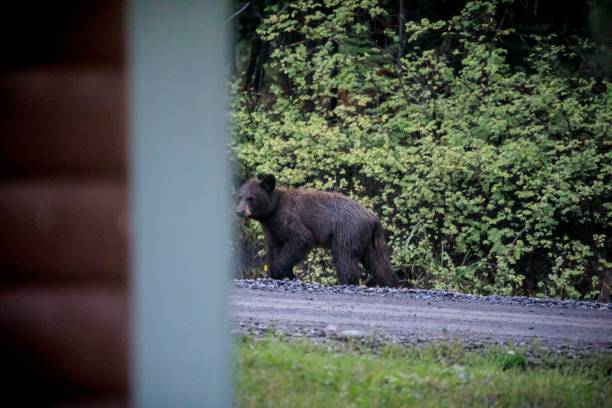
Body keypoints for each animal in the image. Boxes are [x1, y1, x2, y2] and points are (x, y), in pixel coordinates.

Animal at [233, 175, 396, 286]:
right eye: (240, 197)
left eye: (251, 198)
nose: (239, 211)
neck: (272, 211)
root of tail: (373, 217)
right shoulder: (272, 229)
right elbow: (273, 249)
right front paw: (274, 273)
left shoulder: (289, 218)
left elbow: (301, 239)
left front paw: (284, 272)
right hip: (367, 238)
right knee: (377, 261)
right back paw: (389, 281)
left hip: (348, 230)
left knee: (344, 255)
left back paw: (347, 280)